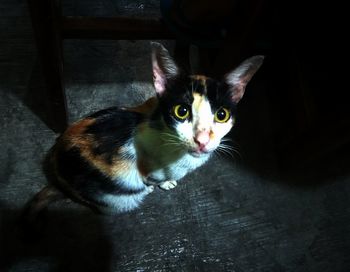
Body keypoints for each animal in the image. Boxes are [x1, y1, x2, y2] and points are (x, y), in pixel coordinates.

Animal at [22, 43, 262, 219]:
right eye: (181, 111)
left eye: (221, 115)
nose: (202, 140)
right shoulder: (146, 168)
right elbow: (152, 179)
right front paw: (160, 184)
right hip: (113, 199)